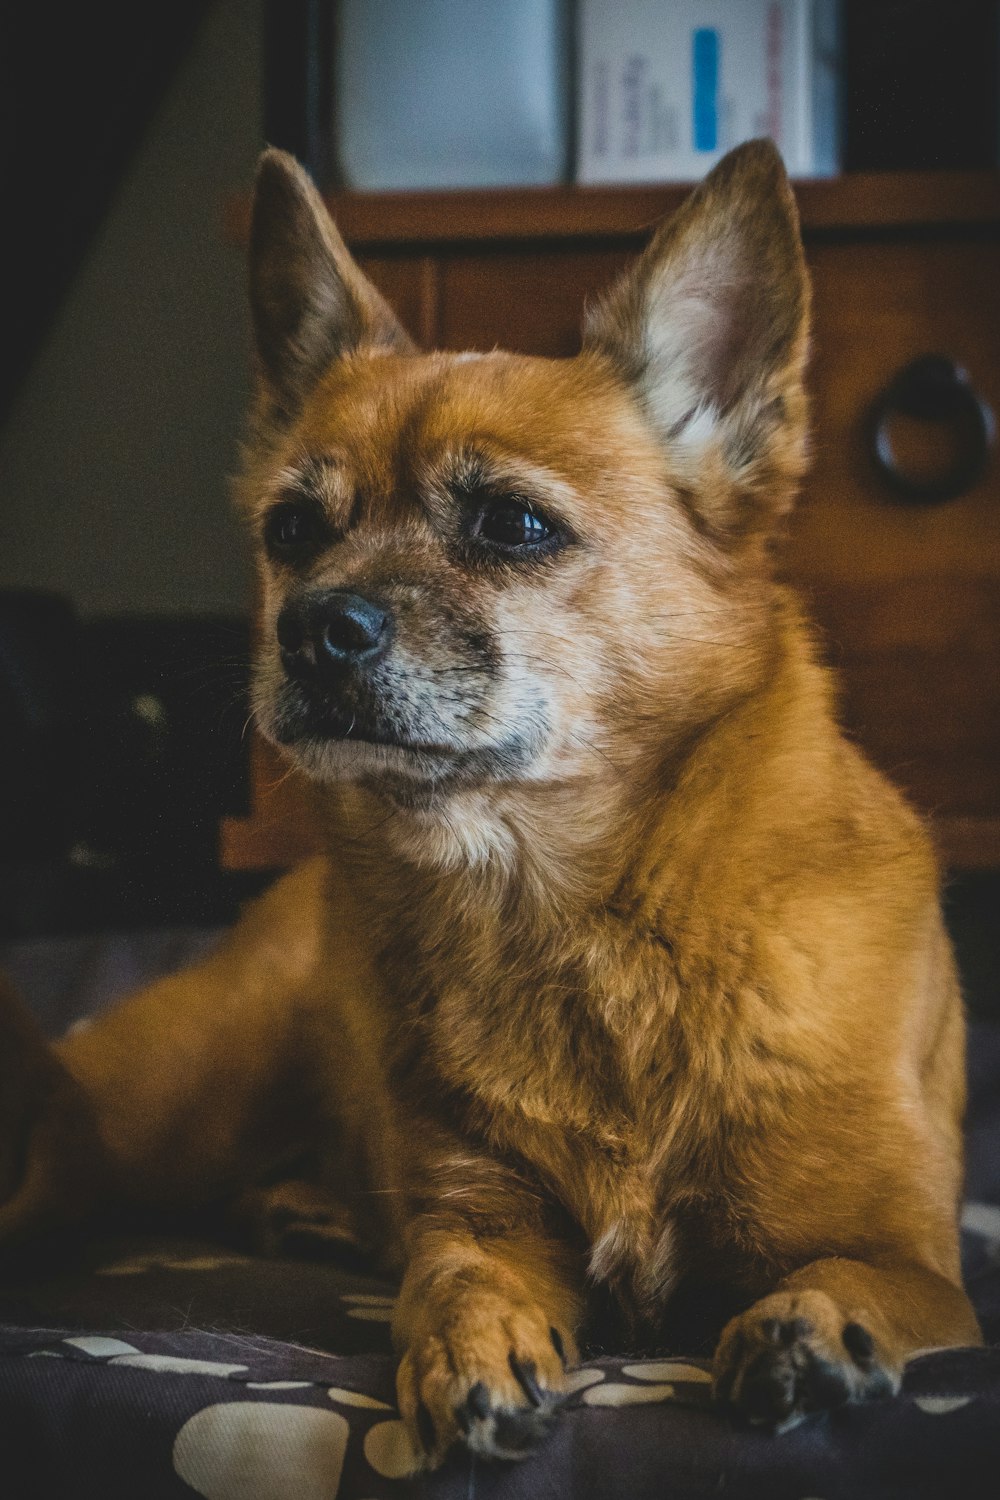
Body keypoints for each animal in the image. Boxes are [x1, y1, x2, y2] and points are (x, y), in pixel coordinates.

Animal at [0, 141, 983, 1464]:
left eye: (513, 524)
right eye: (292, 530)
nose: (310, 626)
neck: (571, 916)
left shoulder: (918, 1264)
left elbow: (856, 1277)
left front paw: (814, 1329)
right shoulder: (484, 1221)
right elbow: (455, 1276)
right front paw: (466, 1350)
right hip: (137, 1124)